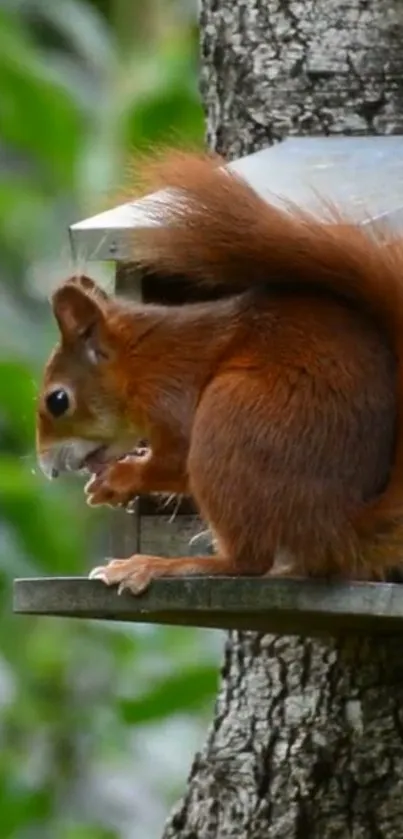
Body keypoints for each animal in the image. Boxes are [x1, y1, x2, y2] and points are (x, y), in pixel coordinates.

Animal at [34, 153, 403, 596]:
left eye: (58, 401)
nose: (47, 469)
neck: (140, 361)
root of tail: (336, 529)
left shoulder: (170, 392)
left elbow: (176, 461)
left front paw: (121, 477)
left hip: (231, 421)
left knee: (246, 562)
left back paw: (161, 565)